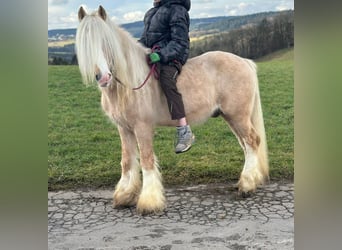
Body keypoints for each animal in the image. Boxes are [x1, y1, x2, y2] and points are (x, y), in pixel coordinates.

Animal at [76, 4, 268, 214]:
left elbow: (146, 160)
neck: (128, 84)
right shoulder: (124, 129)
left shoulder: (142, 127)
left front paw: (149, 201)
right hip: (232, 117)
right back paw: (249, 181)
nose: (102, 77)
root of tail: (245, 62)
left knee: (252, 141)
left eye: (106, 41)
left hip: (238, 116)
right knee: (247, 145)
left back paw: (247, 185)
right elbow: (127, 161)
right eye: (85, 44)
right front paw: (124, 196)